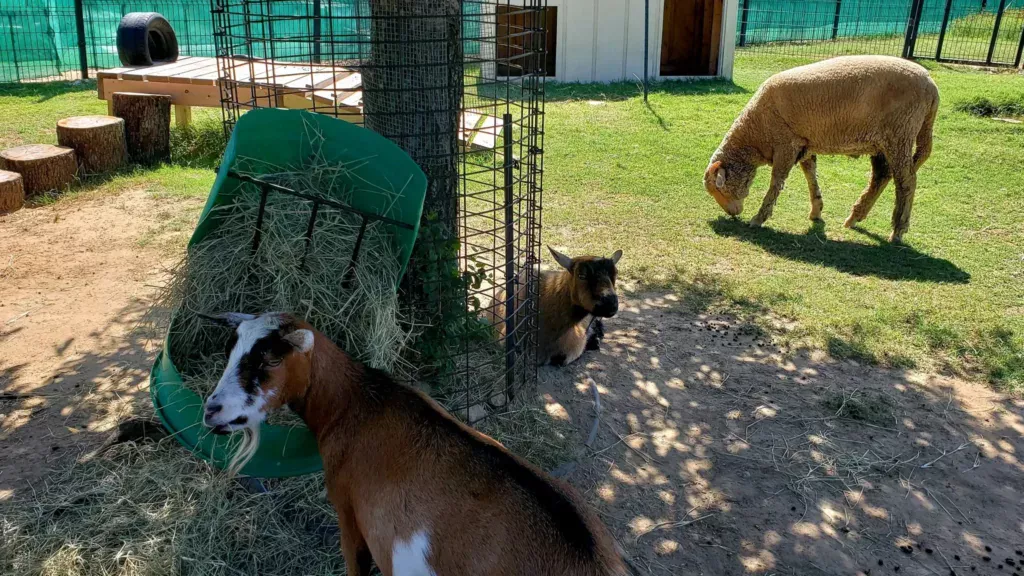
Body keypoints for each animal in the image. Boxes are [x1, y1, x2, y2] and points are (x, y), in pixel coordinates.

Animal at [704, 53, 937, 241]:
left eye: (720, 187)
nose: (733, 214)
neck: (755, 132)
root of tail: (932, 88)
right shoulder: (804, 144)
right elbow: (811, 175)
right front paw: (816, 210)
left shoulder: (786, 144)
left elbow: (776, 182)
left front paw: (759, 218)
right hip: (884, 142)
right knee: (881, 176)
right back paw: (855, 217)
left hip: (900, 133)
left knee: (906, 181)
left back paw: (897, 230)